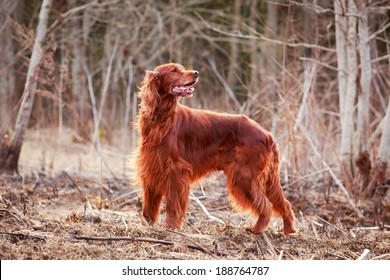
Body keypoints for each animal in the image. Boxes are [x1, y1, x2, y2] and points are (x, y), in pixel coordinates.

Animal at [136, 63, 294, 234]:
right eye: (173, 70)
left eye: (181, 68)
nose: (196, 73)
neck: (161, 119)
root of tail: (267, 134)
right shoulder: (151, 168)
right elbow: (148, 206)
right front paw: (147, 225)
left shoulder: (176, 171)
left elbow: (173, 204)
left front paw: (171, 227)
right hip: (264, 179)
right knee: (285, 204)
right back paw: (289, 230)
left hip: (244, 176)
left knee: (267, 205)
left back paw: (256, 230)